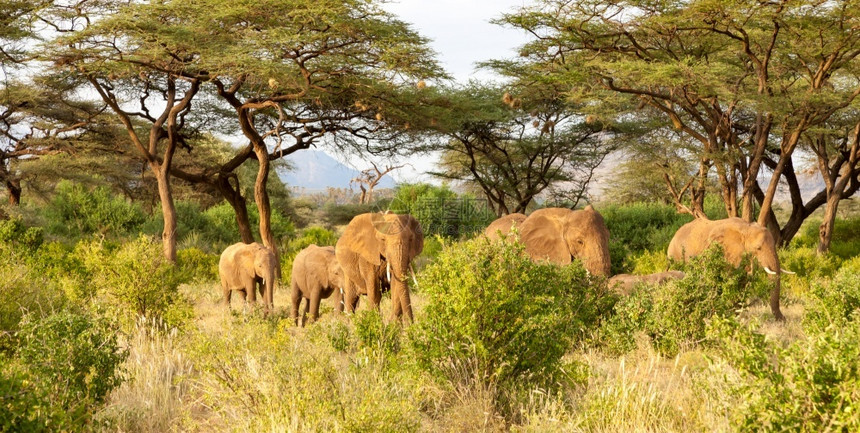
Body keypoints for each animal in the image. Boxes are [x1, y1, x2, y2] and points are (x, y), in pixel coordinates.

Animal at [664, 216, 792, 320]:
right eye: (758, 248)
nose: (783, 319)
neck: (746, 228)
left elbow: (741, 281)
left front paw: (735, 315)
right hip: (676, 256)